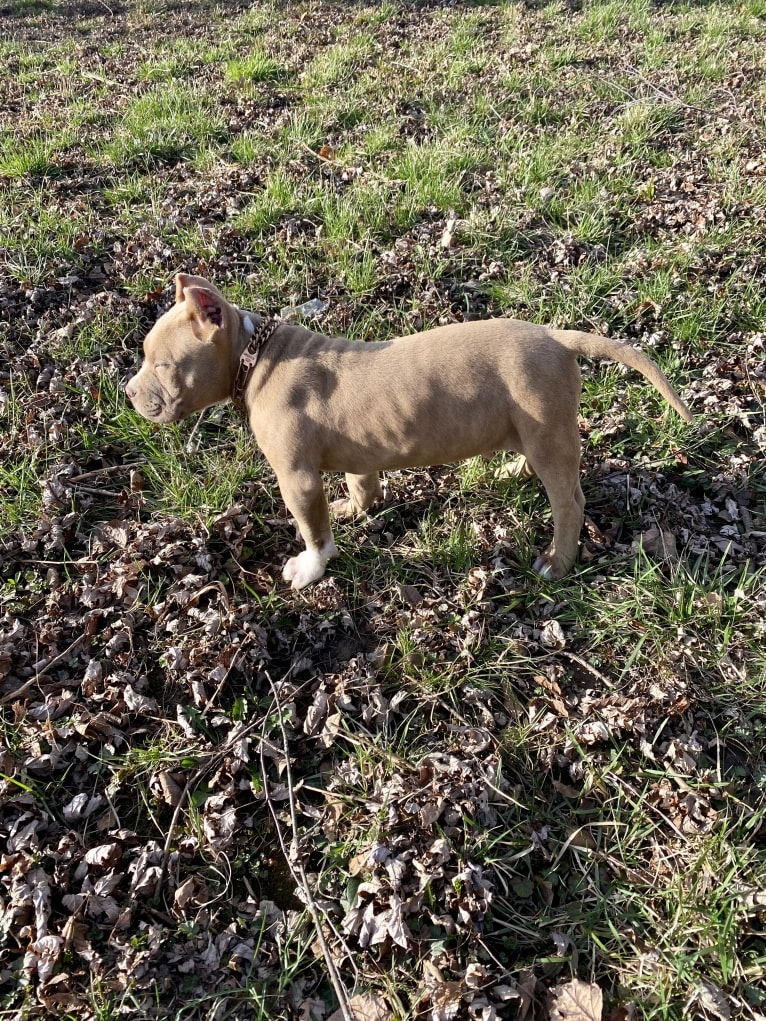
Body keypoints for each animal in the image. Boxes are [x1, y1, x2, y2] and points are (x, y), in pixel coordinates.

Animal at [127, 273, 694, 592]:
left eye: (163, 364)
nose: (128, 393)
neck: (254, 355)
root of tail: (556, 337)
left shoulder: (297, 478)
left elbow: (313, 530)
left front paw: (310, 568)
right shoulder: (358, 455)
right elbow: (361, 485)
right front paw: (354, 509)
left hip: (548, 433)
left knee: (569, 502)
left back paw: (558, 561)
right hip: (536, 429)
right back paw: (512, 469)